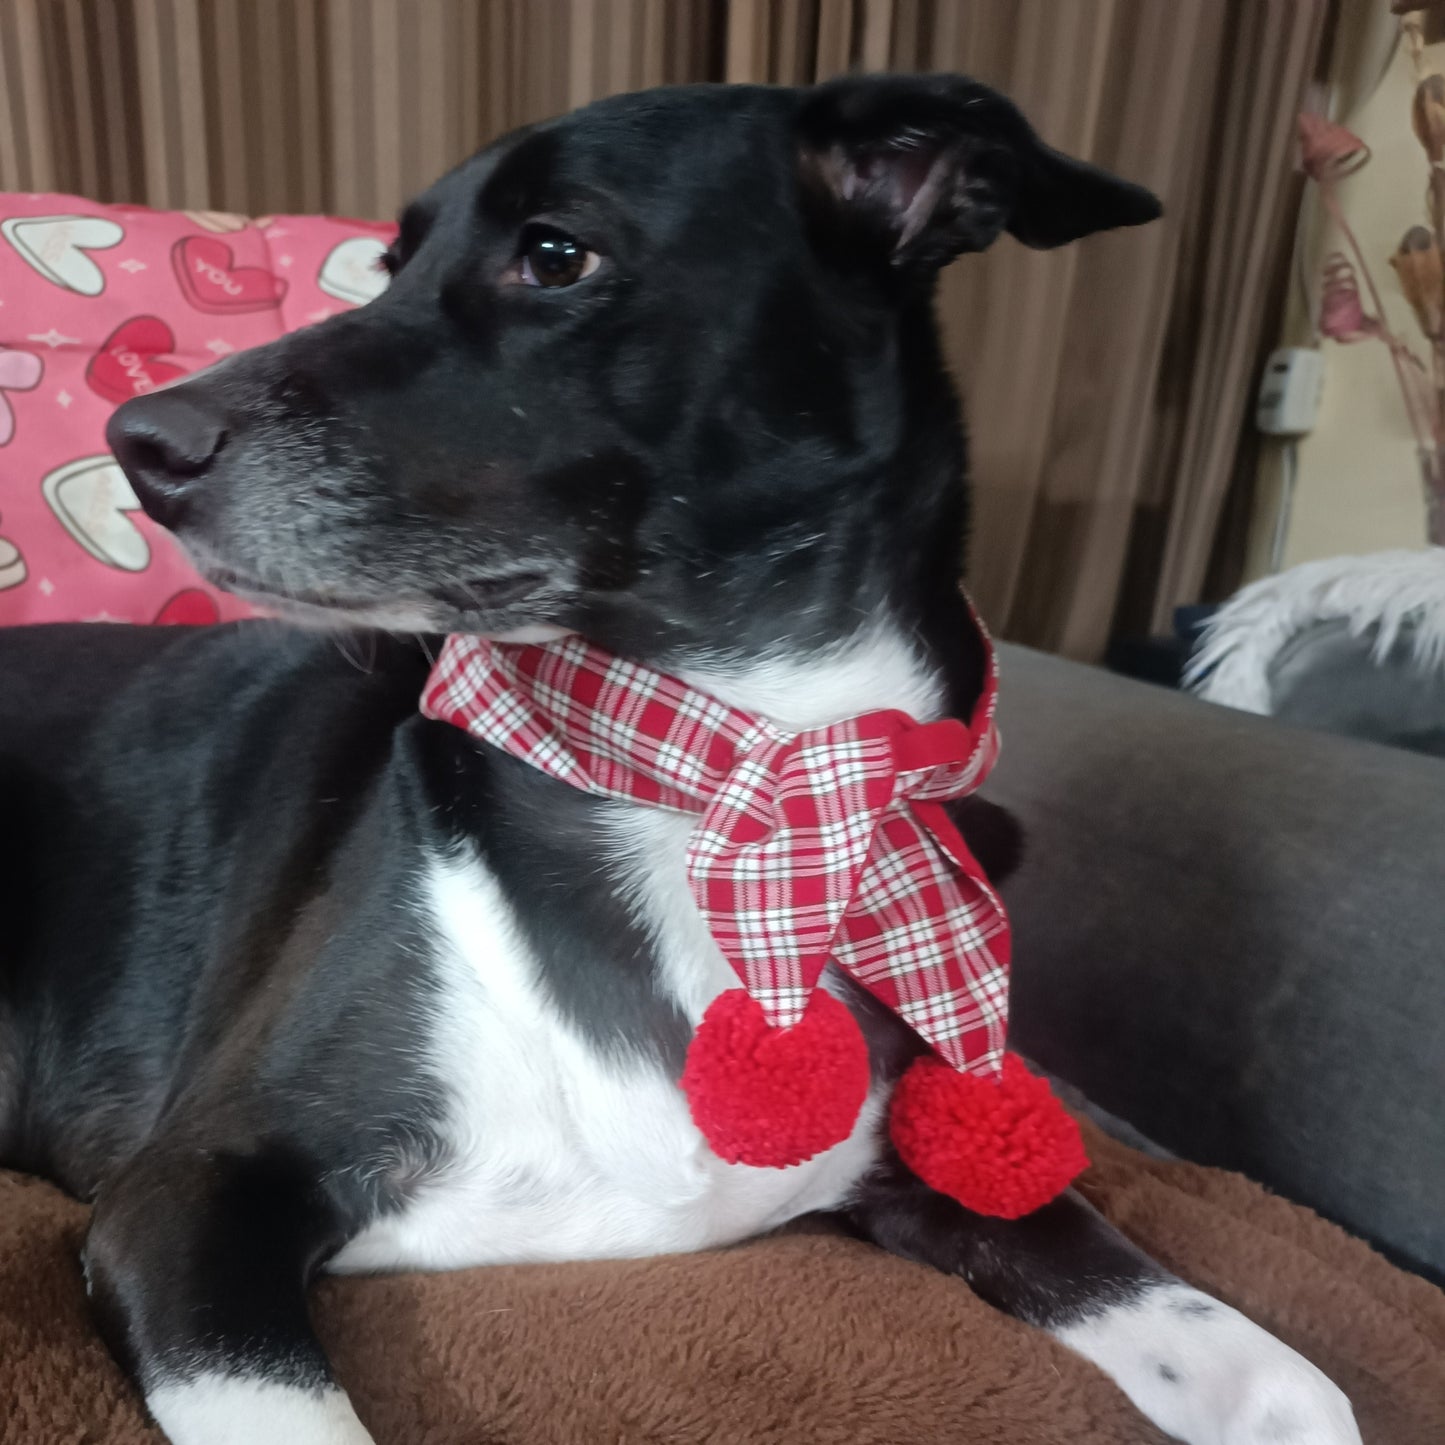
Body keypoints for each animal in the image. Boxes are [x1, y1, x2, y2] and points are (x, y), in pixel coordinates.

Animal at [0, 76, 1358, 1445]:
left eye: (555, 254)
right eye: (391, 265)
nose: (139, 442)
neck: (728, 778)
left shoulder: (944, 1165)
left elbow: (1283, 1379)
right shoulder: (191, 1193)